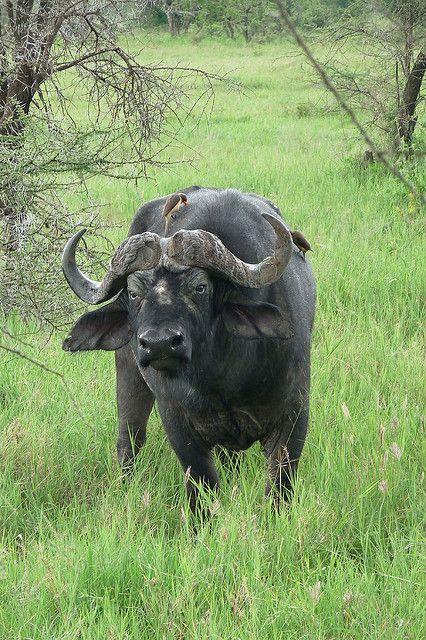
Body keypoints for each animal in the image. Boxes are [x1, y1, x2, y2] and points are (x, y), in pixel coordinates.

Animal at [62, 186, 315, 512]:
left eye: (200, 287)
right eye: (133, 292)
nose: (158, 343)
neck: (223, 376)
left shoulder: (294, 416)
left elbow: (279, 488)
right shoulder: (178, 424)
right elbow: (201, 485)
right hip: (128, 373)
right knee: (130, 438)